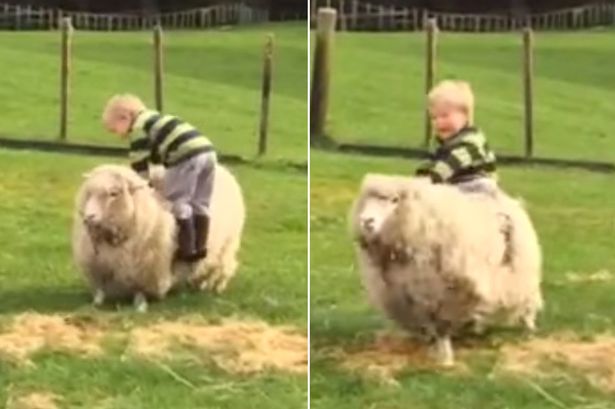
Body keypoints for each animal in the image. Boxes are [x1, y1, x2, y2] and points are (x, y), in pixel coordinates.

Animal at [72, 163, 245, 310]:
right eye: (89, 193)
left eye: (114, 193)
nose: (88, 217)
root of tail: (223, 170)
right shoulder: (100, 263)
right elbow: (101, 286)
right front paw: (97, 302)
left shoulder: (147, 266)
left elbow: (140, 288)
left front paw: (140, 305)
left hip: (227, 245)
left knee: (223, 267)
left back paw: (216, 287)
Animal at [352, 174, 544, 364]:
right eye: (366, 201)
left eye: (395, 200)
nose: (366, 221)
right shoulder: (411, 291)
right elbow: (429, 322)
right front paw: (434, 348)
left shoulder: (445, 292)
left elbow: (441, 325)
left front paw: (445, 357)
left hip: (520, 267)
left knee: (528, 299)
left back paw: (529, 329)